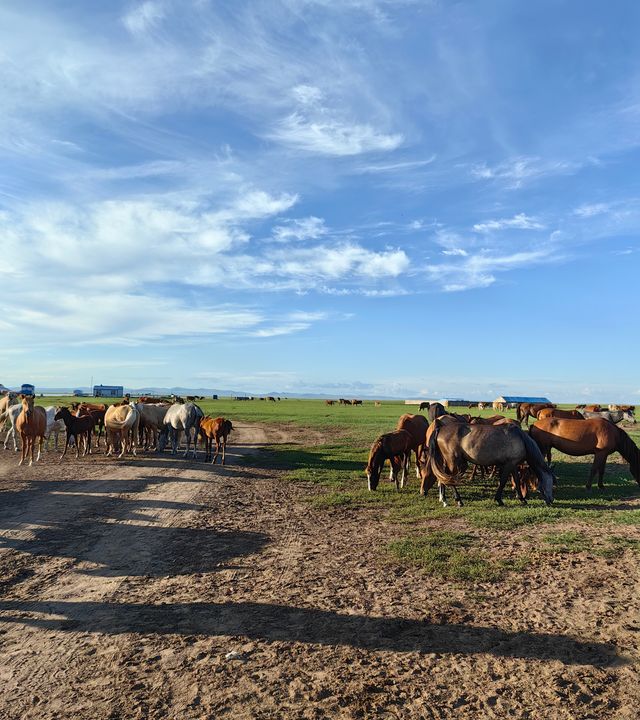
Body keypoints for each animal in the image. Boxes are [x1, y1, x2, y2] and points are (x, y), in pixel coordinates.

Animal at [420, 422, 556, 506]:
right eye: (551, 482)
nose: (551, 500)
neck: (521, 438)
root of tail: (440, 429)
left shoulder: (512, 464)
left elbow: (516, 481)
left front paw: (521, 498)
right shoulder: (508, 465)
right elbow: (503, 482)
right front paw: (499, 500)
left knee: (443, 478)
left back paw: (444, 500)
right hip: (453, 461)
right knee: (449, 479)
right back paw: (458, 500)